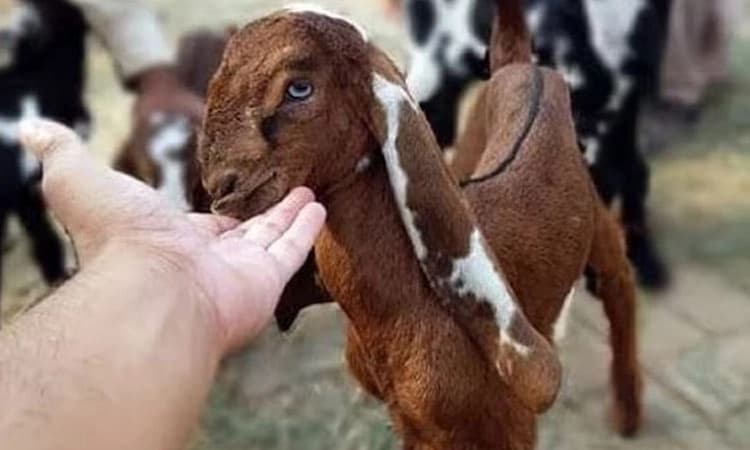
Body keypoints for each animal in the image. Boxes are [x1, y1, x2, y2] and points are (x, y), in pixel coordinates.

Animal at [198, 3, 641, 448]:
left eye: (299, 89)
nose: (221, 187)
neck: (415, 301)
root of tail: (523, 69)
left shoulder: (509, 424)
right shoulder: (410, 423)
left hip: (597, 214)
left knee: (619, 285)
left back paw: (626, 413)